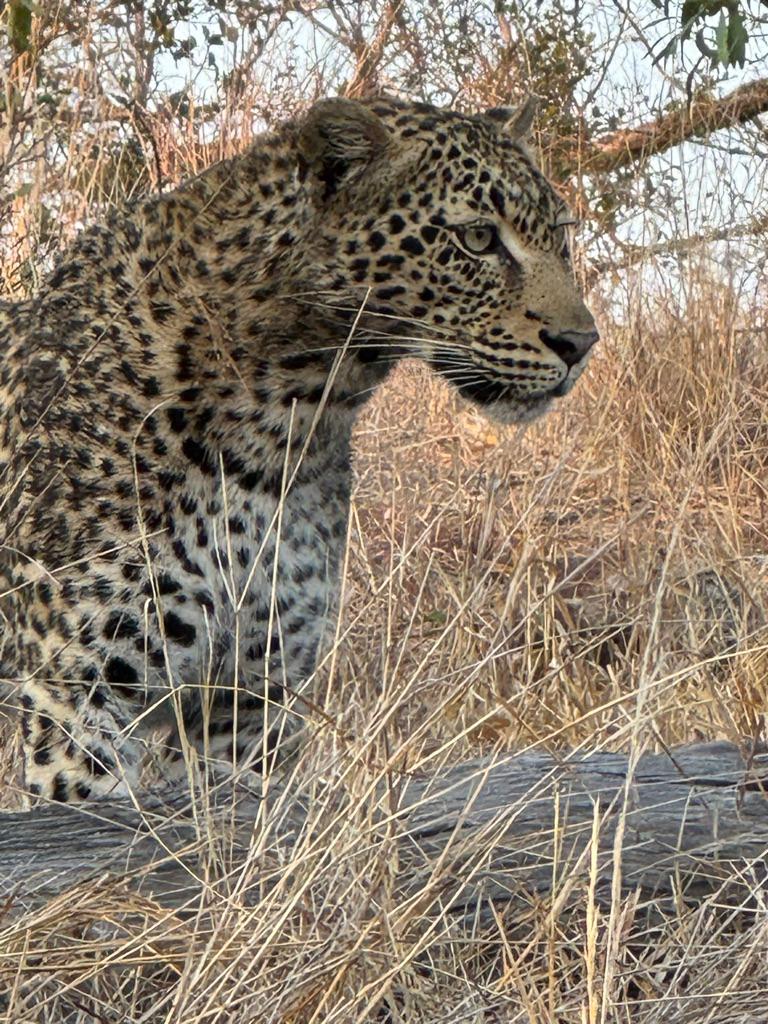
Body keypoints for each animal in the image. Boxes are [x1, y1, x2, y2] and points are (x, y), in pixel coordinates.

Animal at [0, 96, 602, 802]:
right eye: (478, 238)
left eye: (559, 236)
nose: (580, 343)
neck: (291, 414)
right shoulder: (77, 699)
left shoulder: (250, 704)